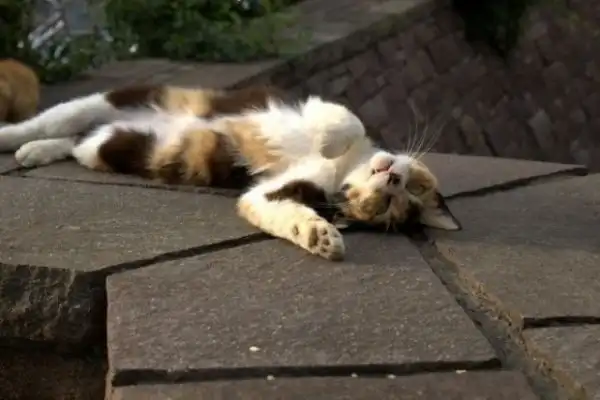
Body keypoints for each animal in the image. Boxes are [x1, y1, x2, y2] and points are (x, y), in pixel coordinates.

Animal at [0, 84, 461, 260]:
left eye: (387, 205)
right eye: (413, 185)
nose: (392, 177)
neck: (345, 171)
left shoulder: (268, 192)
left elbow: (275, 210)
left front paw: (321, 237)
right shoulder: (319, 107)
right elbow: (348, 122)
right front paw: (330, 141)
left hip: (110, 146)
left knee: (75, 141)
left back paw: (34, 152)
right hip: (113, 100)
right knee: (53, 120)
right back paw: (14, 138)